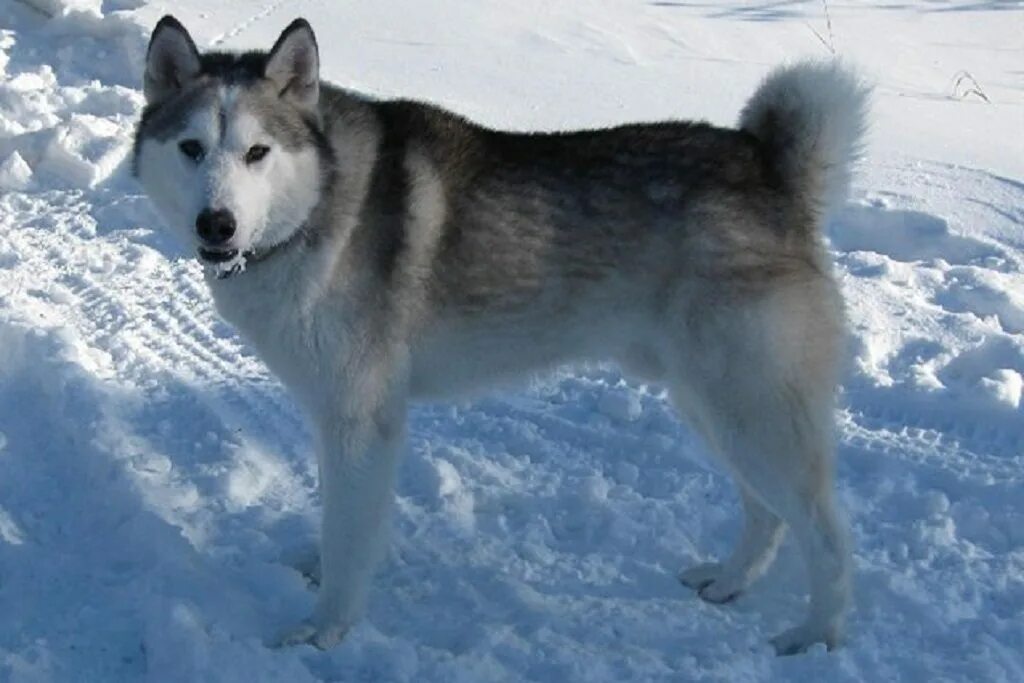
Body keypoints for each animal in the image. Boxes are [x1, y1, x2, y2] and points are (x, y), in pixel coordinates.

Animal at [132, 14, 868, 655]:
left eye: (257, 153)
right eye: (192, 148)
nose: (216, 224)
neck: (316, 209)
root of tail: (769, 167)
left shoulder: (361, 417)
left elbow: (348, 538)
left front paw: (325, 631)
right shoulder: (339, 419)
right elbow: (342, 520)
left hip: (751, 411)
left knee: (828, 536)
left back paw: (817, 636)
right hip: (713, 407)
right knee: (768, 514)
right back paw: (729, 581)